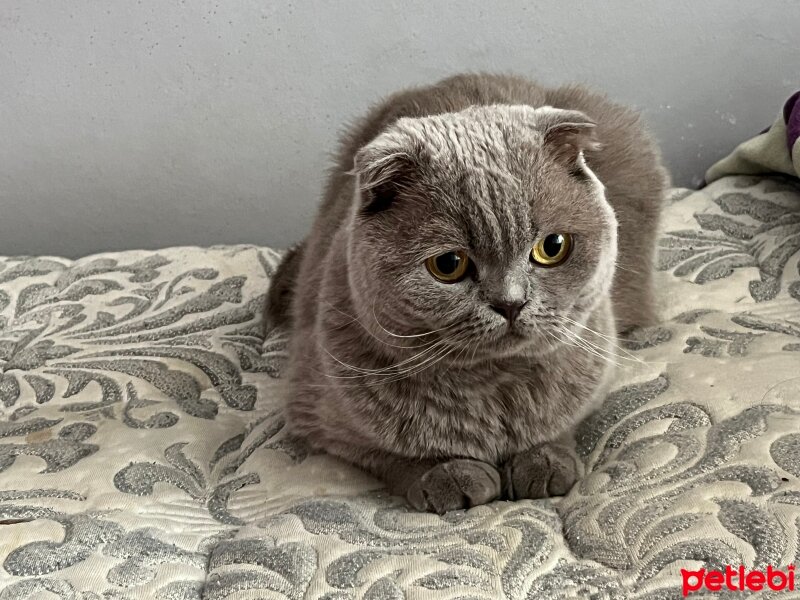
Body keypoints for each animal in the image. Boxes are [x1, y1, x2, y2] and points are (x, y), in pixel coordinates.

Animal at [268, 72, 668, 512]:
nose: (510, 303)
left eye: (552, 246)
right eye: (448, 264)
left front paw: (544, 461)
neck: (494, 386)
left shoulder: (597, 361)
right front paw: (446, 476)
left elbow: (562, 425)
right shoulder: (317, 414)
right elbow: (390, 454)